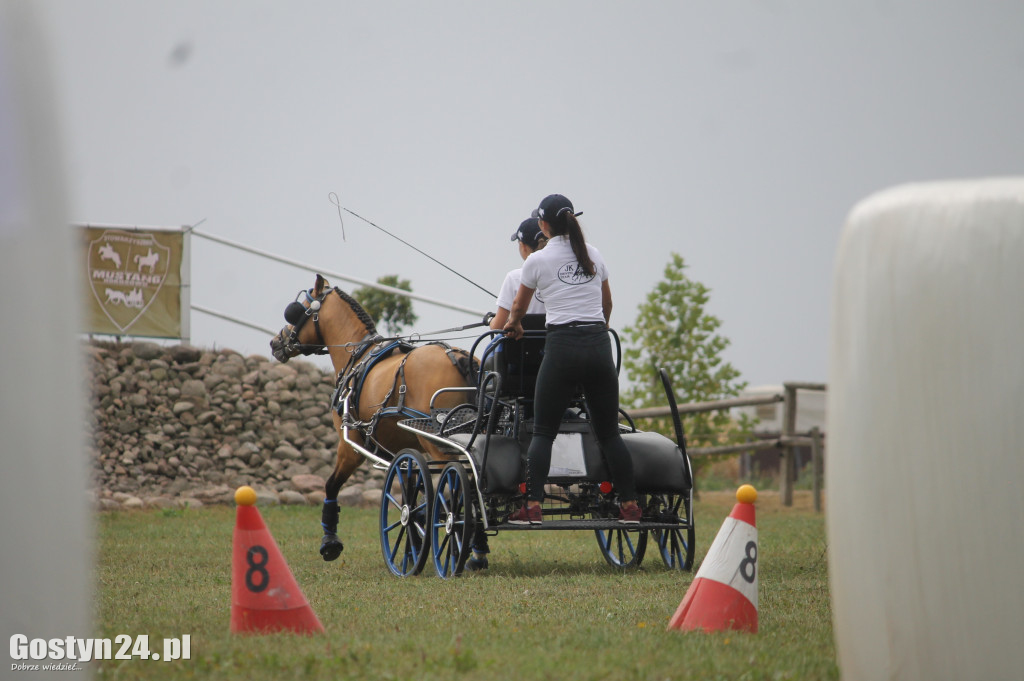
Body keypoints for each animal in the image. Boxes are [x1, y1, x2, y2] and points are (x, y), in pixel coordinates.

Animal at [268, 274, 475, 561]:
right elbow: (412, 494)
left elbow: (331, 485)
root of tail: (459, 357)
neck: (358, 355)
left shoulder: (351, 446)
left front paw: (330, 541)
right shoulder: (402, 451)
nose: (276, 342)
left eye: (297, 310)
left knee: (464, 487)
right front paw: (414, 541)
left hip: (439, 445)